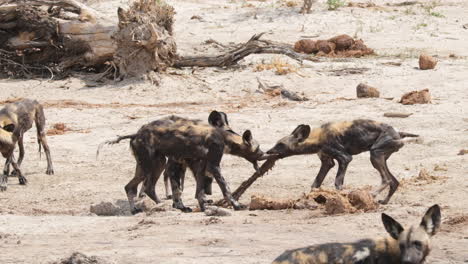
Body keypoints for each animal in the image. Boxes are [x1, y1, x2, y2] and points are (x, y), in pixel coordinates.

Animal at [266, 119, 416, 204]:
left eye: (280, 145)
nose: (267, 151)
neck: (317, 138)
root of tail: (398, 133)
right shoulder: (327, 163)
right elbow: (315, 184)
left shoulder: (344, 158)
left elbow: (338, 182)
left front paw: (340, 199)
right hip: (380, 157)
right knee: (394, 182)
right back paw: (384, 201)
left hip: (375, 155)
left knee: (386, 179)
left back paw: (372, 194)